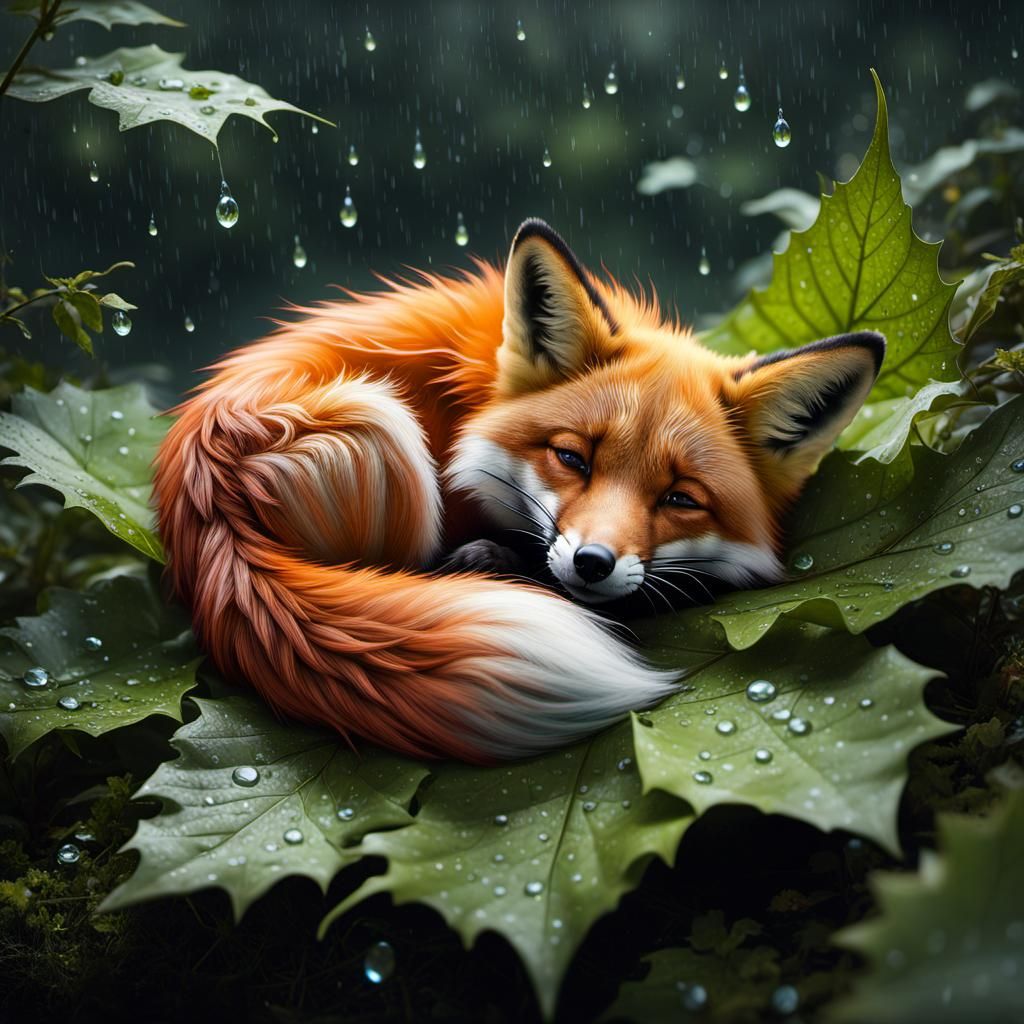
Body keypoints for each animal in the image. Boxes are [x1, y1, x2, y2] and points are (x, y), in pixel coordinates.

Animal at [154, 218, 884, 764]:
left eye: (680, 498)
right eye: (572, 458)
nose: (592, 563)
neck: (480, 391)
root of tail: (202, 499)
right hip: (376, 420)